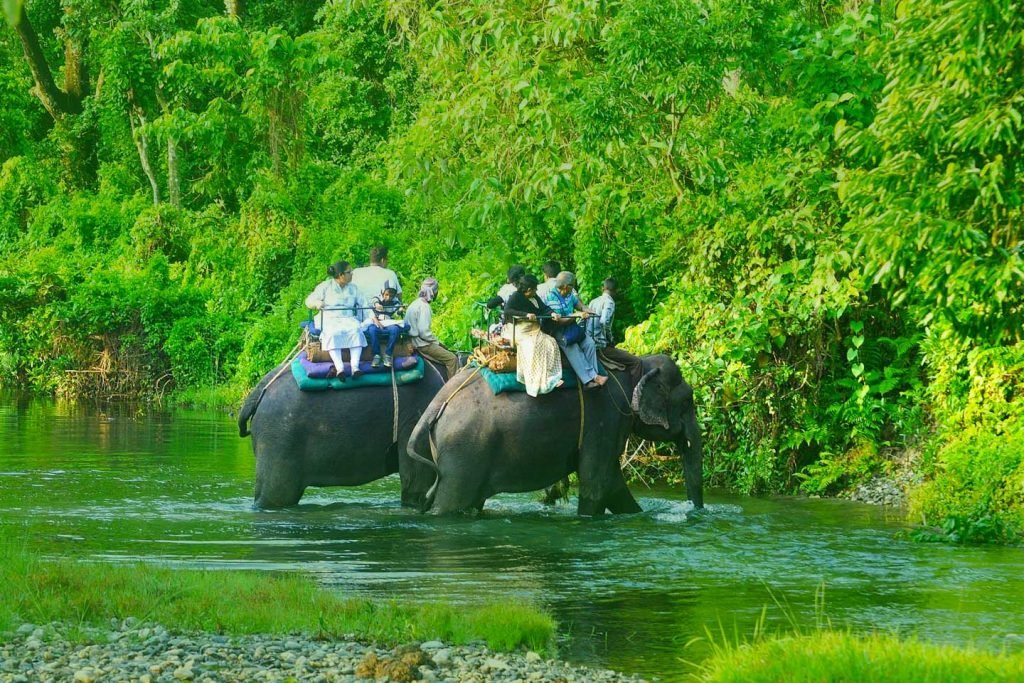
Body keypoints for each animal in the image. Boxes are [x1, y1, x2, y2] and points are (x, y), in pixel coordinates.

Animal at [407, 356, 704, 516]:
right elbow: (599, 483)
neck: (638, 365)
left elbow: (611, 484)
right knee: (450, 504)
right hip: (463, 453)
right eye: (688, 401)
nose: (695, 511)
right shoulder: (606, 417)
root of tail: (437, 403)